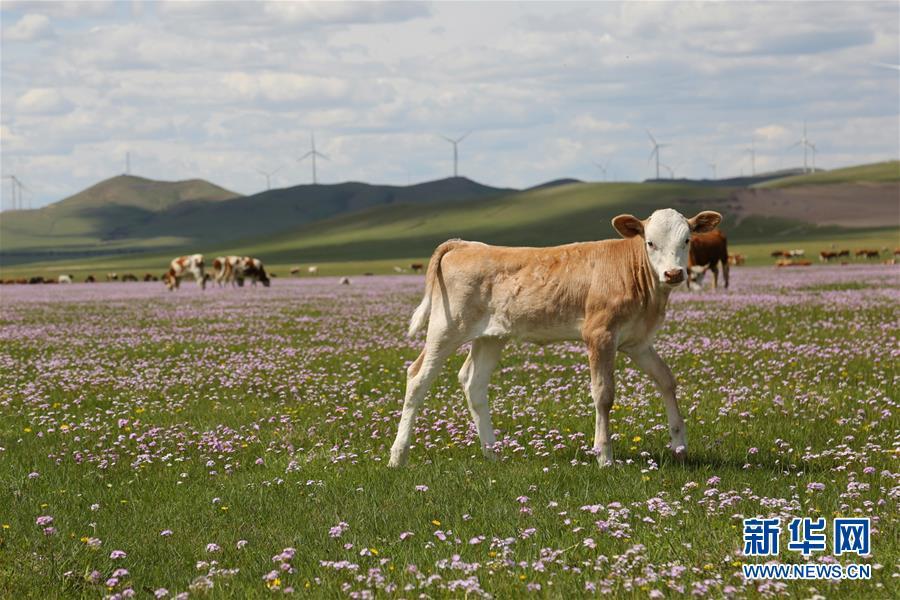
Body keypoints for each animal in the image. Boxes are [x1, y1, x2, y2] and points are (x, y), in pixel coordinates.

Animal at [388, 209, 724, 466]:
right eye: (650, 242)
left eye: (687, 240)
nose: (674, 274)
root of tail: (465, 244)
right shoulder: (599, 334)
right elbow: (603, 394)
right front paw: (604, 456)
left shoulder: (638, 342)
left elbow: (666, 380)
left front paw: (679, 445)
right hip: (446, 328)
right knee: (417, 378)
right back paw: (398, 456)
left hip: (491, 337)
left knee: (474, 383)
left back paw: (492, 454)